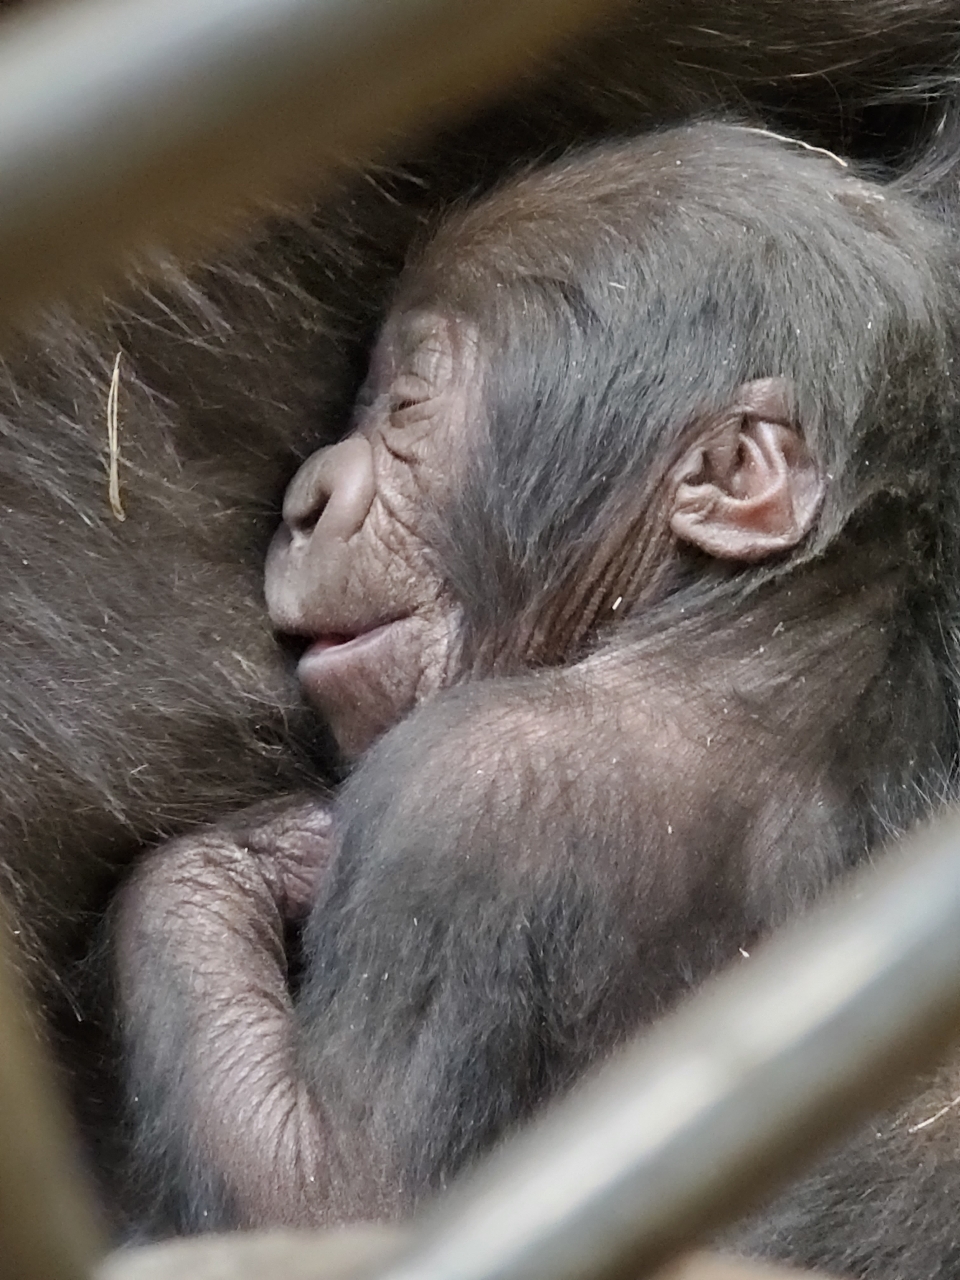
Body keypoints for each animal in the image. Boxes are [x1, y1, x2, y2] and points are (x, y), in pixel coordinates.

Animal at [110, 122, 960, 1280]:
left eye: (406, 407)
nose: (309, 497)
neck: (743, 629)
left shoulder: (464, 788)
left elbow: (338, 1195)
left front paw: (252, 853)